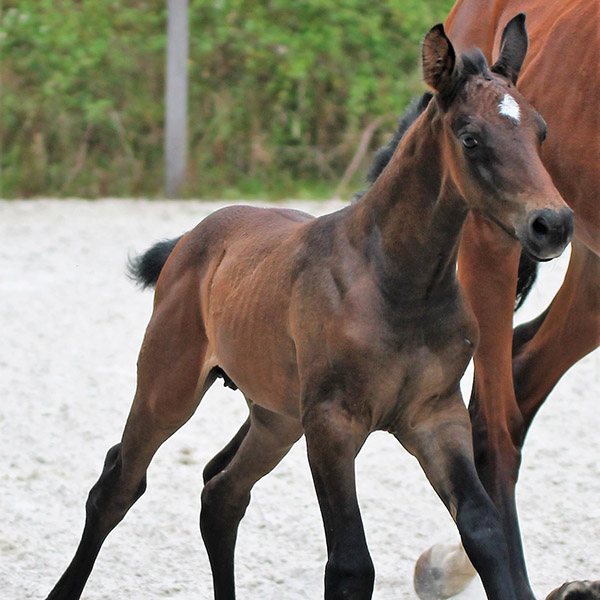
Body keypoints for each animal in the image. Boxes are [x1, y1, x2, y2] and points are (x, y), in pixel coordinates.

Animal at [45, 17, 572, 600]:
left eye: (541, 132)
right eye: (470, 137)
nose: (552, 224)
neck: (399, 285)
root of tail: (193, 236)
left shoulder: (436, 416)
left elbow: (483, 528)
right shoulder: (332, 423)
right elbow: (350, 564)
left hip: (276, 417)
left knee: (222, 492)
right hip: (170, 386)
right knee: (119, 484)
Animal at [396, 2, 596, 596]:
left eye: (543, 132)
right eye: (470, 139)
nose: (554, 224)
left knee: (522, 373)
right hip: (491, 239)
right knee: (495, 424)